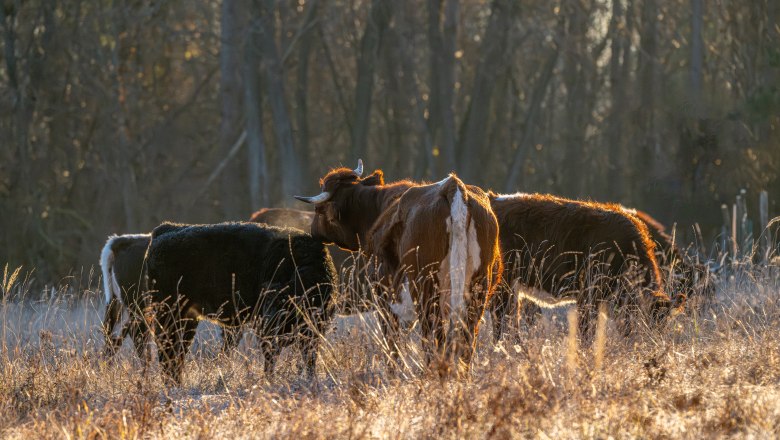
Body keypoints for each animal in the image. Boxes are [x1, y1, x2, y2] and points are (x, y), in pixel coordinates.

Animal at [148, 222, 336, 384]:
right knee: (168, 352)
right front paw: (269, 380)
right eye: (267, 299)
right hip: (169, 316)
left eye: (284, 302)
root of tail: (163, 231)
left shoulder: (313, 331)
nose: (268, 321)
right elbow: (272, 358)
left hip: (187, 320)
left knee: (176, 353)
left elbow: (309, 359)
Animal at [296, 162, 502, 374]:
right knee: (466, 343)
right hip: (478, 291)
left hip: (427, 292)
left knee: (435, 342)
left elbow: (392, 343)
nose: (313, 232)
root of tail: (452, 186)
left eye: (318, 210)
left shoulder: (385, 298)